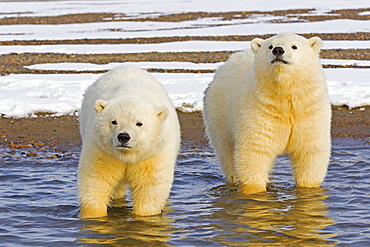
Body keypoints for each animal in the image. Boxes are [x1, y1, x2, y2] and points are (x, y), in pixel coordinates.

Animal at [77, 65, 181, 218]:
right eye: (113, 121)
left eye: (139, 123)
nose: (123, 137)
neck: (127, 156)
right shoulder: (102, 151)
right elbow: (96, 181)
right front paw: (93, 215)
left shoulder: (152, 155)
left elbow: (149, 189)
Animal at [204, 32, 330, 194]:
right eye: (270, 46)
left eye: (294, 46)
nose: (278, 50)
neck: (285, 97)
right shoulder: (260, 109)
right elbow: (256, 150)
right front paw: (254, 190)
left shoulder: (309, 110)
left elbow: (309, 151)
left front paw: (308, 189)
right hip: (219, 114)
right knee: (227, 153)